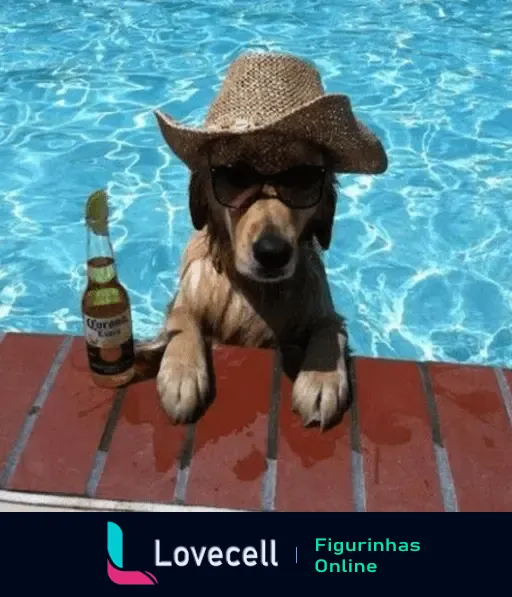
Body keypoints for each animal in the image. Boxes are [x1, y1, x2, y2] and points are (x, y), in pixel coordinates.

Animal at [134, 52, 386, 428]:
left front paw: (321, 378)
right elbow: (182, 317)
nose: (272, 253)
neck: (255, 293)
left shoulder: (326, 313)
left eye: (302, 180)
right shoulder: (183, 301)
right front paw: (181, 373)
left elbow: (330, 329)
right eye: (235, 176)